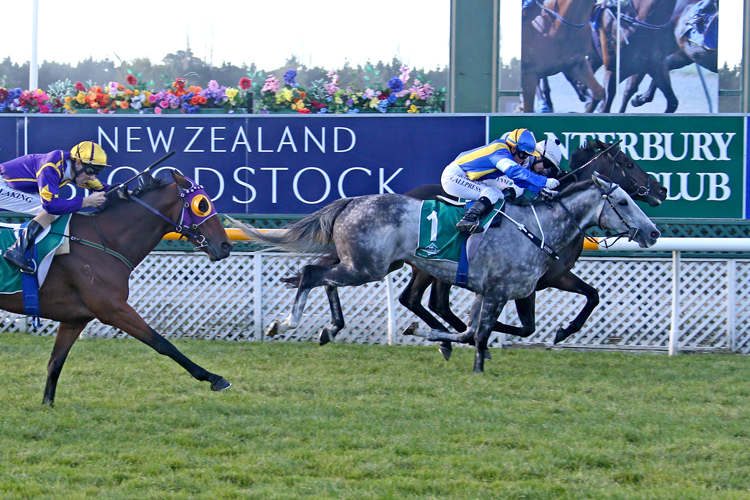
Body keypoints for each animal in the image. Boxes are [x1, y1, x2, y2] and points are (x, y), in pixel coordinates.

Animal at [3, 170, 232, 404]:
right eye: (202, 205)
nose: (226, 245)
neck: (103, 240)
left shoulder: (74, 319)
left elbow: (55, 363)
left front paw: (47, 405)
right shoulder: (112, 309)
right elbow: (162, 343)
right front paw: (214, 378)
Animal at [234, 176, 656, 376]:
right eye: (622, 201)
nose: (652, 232)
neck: (538, 228)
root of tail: (351, 202)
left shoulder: (505, 291)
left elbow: (479, 331)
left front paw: (444, 342)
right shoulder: (499, 291)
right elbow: (477, 332)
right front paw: (469, 360)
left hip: (366, 265)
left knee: (323, 276)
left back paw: (330, 327)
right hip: (367, 266)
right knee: (311, 273)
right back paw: (284, 323)